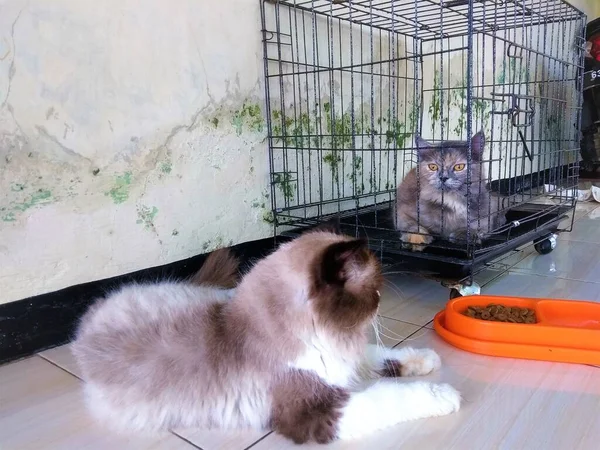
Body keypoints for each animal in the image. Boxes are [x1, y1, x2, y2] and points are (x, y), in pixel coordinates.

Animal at [71, 221, 460, 442]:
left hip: (207, 295)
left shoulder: (338, 358)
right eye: (375, 291)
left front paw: (426, 359)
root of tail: (91, 316)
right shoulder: (319, 408)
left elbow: (382, 356)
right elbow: (394, 395)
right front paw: (445, 395)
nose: (380, 302)